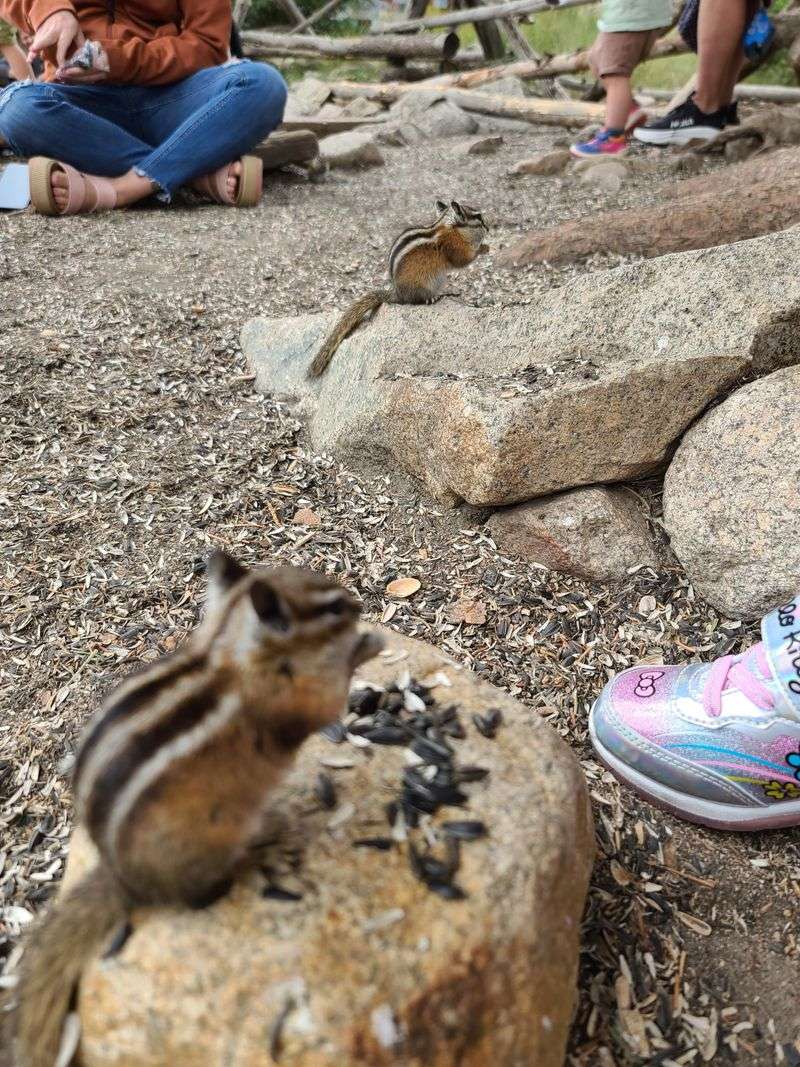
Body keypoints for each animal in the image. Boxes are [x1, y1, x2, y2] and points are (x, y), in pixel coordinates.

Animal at [13, 551, 383, 1067]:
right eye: (330, 608)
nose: (359, 604)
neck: (228, 652)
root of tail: (124, 880)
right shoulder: (296, 702)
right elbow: (329, 698)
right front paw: (366, 644)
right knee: (201, 893)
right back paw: (259, 847)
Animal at [306, 199, 488, 379]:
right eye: (479, 218)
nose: (488, 228)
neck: (450, 228)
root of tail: (397, 294)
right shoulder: (454, 247)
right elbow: (462, 261)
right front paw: (484, 248)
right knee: (417, 300)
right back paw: (436, 297)